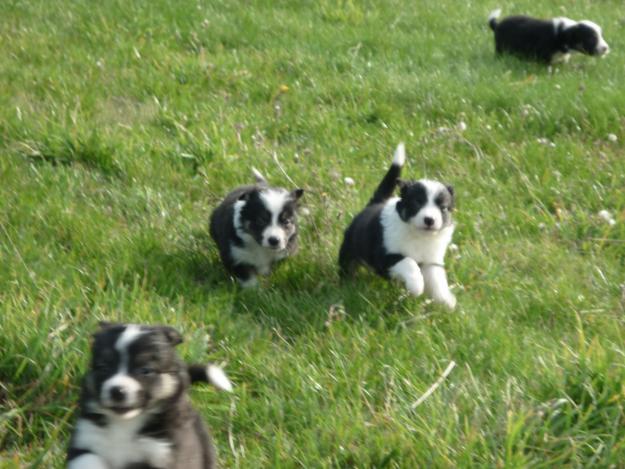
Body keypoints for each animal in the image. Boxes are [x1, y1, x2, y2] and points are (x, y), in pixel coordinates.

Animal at [66, 322, 232, 468]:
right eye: (103, 367)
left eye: (145, 370)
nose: (117, 391)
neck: (125, 423)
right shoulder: (85, 440)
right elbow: (89, 461)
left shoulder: (163, 452)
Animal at [338, 144, 456, 310]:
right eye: (417, 203)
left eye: (443, 208)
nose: (429, 220)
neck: (418, 235)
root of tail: (375, 203)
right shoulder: (386, 256)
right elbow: (409, 263)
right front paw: (416, 287)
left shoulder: (430, 260)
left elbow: (437, 279)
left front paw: (446, 301)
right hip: (349, 249)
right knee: (347, 267)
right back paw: (346, 286)